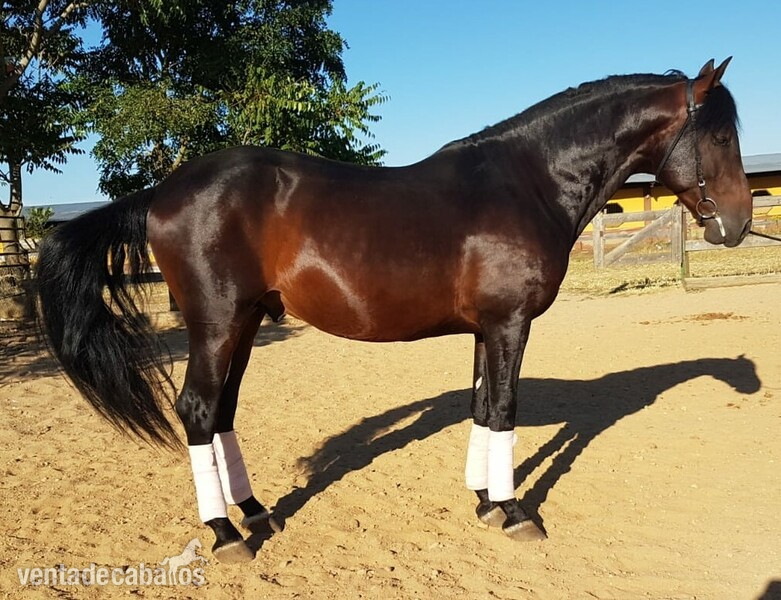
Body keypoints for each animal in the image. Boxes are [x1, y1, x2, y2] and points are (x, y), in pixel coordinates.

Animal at [36, 58, 753, 563]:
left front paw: (484, 503)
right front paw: (515, 512)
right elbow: (506, 409)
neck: (528, 182)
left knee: (222, 413)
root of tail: (162, 191)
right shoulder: (511, 324)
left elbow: (483, 406)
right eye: (719, 134)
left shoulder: (487, 328)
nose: (740, 224)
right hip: (215, 325)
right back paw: (224, 533)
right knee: (196, 411)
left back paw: (256, 512)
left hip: (244, 322)